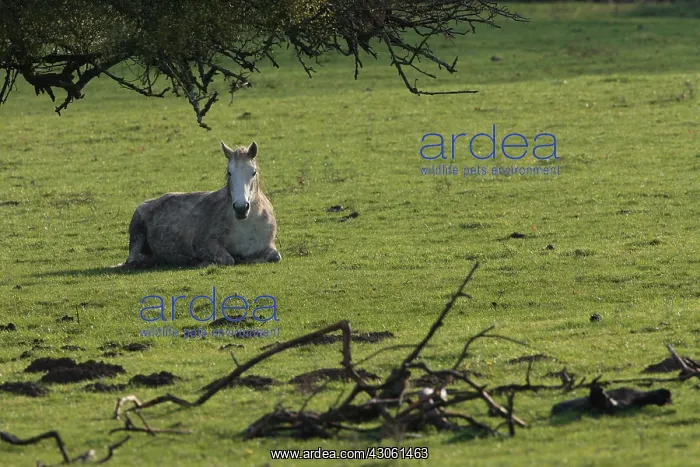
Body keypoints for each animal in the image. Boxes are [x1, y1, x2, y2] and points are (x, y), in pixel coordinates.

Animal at [121, 141, 281, 269]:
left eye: (253, 172)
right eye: (229, 173)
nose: (241, 208)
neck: (246, 226)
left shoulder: (269, 245)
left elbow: (275, 256)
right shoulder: (207, 244)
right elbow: (228, 259)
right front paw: (202, 262)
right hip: (137, 233)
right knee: (133, 261)